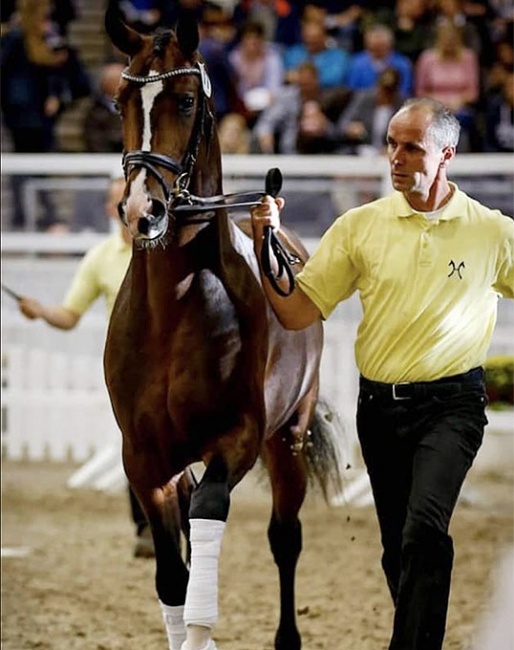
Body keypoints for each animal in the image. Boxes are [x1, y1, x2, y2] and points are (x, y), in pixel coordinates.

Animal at [103, 5, 345, 649]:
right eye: (121, 100)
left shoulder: (236, 439)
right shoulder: (144, 459)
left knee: (285, 539)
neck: (172, 309)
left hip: (287, 438)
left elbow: (207, 527)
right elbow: (171, 575)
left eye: (187, 100)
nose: (143, 211)